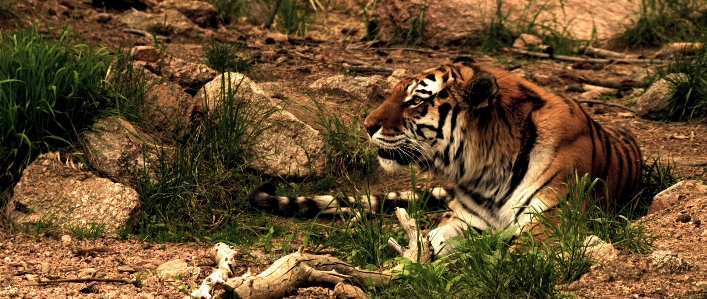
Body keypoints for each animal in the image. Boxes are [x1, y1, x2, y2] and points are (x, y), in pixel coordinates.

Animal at [252, 58, 644, 258]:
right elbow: (435, 238)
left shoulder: (551, 223)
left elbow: (512, 250)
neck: (489, 171)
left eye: (414, 100)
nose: (366, 125)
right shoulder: (463, 219)